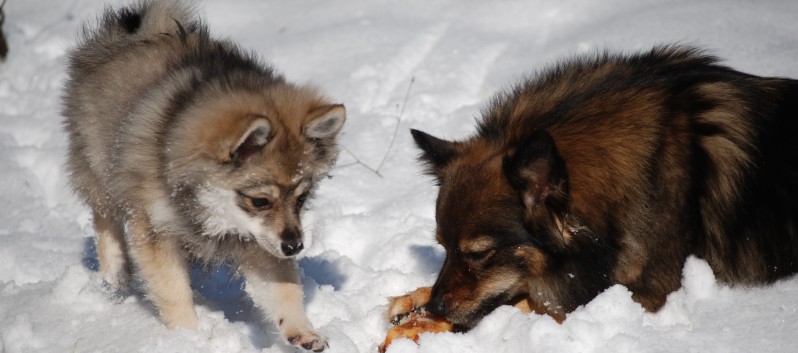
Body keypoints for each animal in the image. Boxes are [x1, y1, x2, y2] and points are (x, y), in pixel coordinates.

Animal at [61, 0, 344, 350]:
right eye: (260, 201)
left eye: (302, 199)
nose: (295, 247)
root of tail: (139, 33)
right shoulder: (154, 229)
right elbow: (174, 292)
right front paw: (189, 338)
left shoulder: (261, 241)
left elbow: (284, 288)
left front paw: (302, 330)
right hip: (97, 165)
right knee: (104, 216)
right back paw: (115, 271)